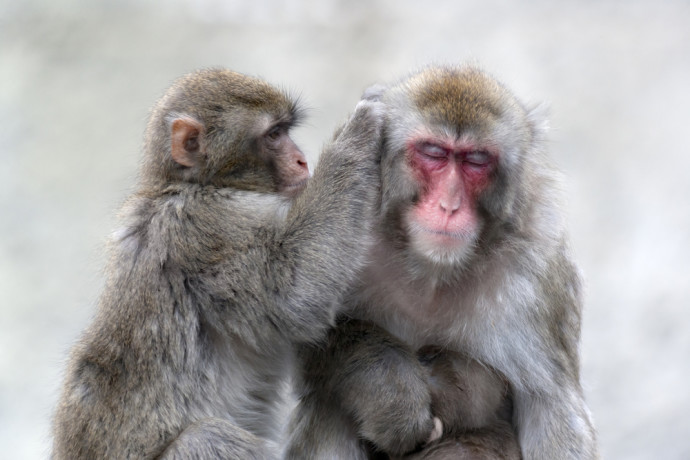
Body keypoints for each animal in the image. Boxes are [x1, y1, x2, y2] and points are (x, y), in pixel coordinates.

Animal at [53, 68, 382, 460]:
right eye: (273, 135)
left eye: (286, 131)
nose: (302, 160)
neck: (196, 184)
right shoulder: (207, 229)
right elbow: (292, 294)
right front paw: (361, 128)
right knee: (206, 438)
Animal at [284, 67, 596, 460]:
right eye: (433, 153)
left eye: (476, 160)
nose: (449, 205)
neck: (433, 271)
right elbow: (296, 328)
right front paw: (389, 386)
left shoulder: (540, 277)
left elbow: (553, 411)